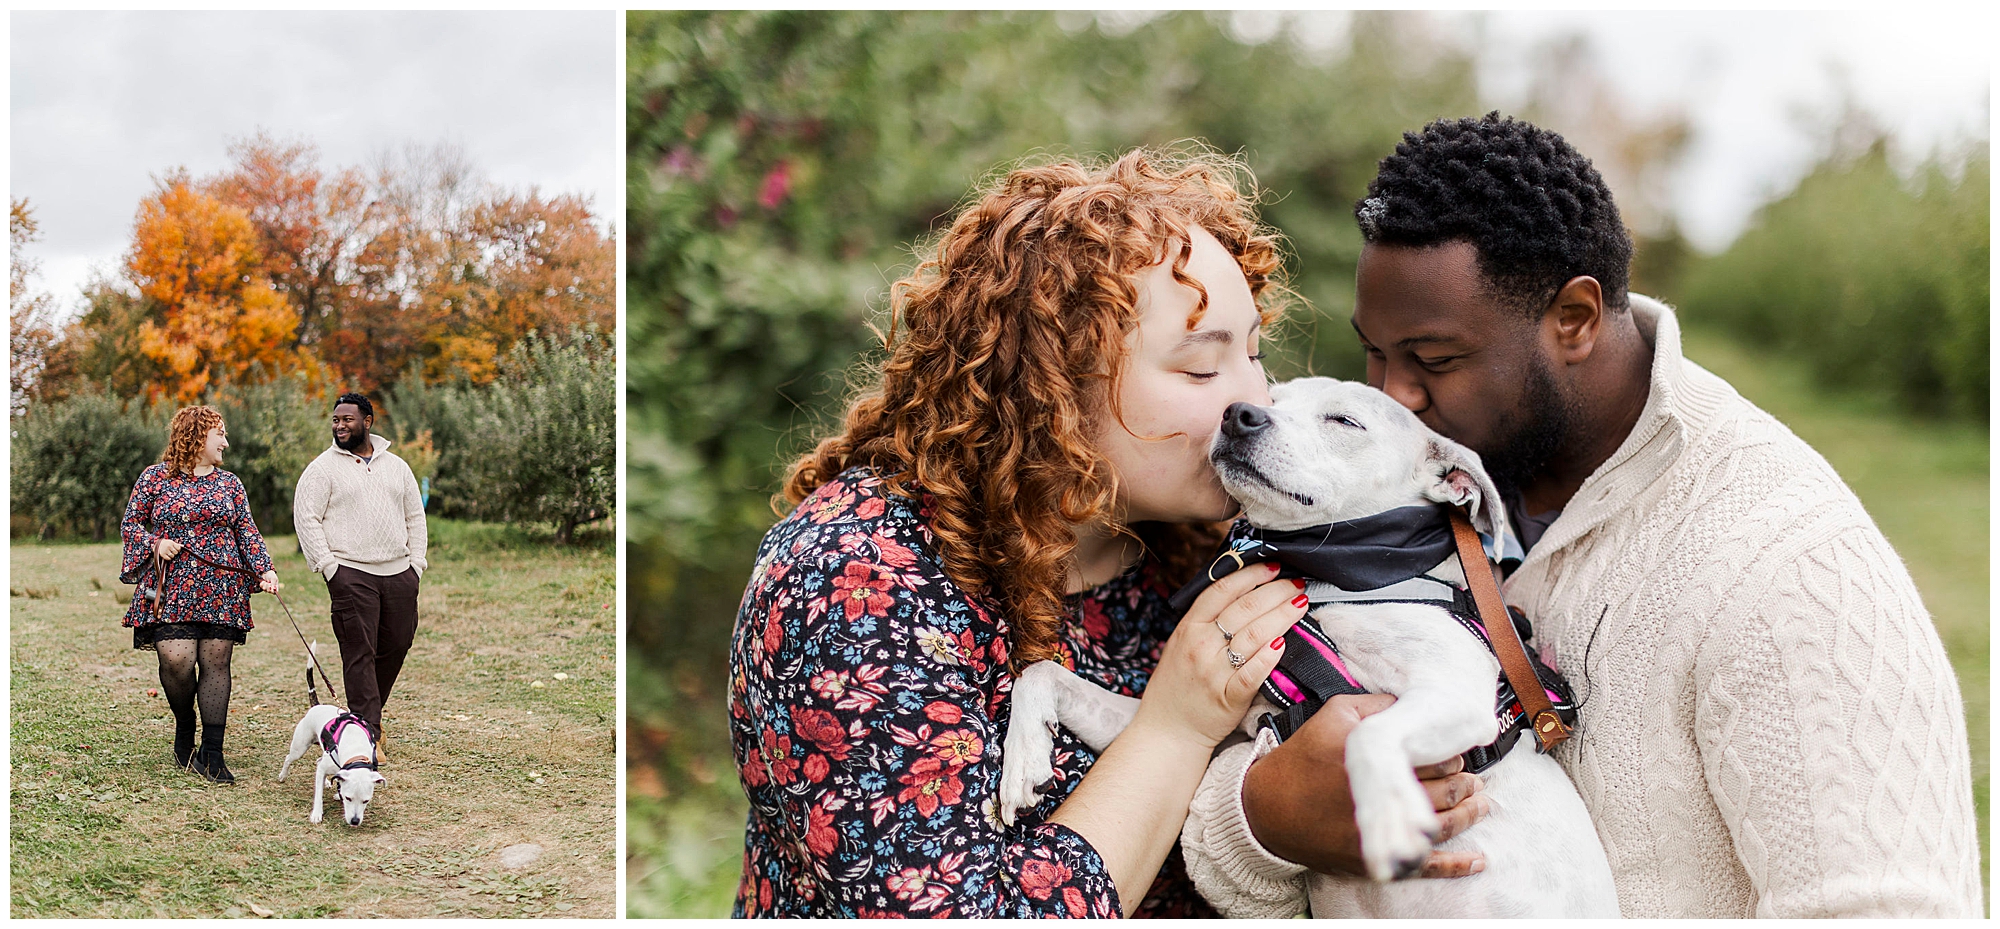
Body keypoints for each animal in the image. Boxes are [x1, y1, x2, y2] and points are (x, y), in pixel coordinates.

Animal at [274, 644, 382, 828]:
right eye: (348, 798)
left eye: (366, 801)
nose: (355, 821)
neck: (356, 753)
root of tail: (316, 706)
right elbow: (318, 795)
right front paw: (316, 814)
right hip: (300, 747)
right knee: (289, 758)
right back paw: (283, 775)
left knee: (318, 761)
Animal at [1008, 376, 1616, 912]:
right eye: (1267, 397)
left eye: (1344, 420)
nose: (1238, 413)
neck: (1333, 576)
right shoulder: (1185, 728)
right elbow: (1041, 673)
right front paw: (1021, 760)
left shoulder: (1458, 695)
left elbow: (1367, 734)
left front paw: (1386, 820)